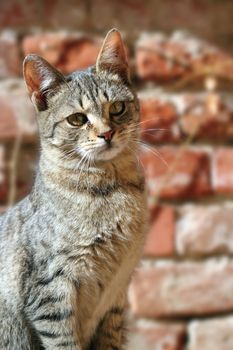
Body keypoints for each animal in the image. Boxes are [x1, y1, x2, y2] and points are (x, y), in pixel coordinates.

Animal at [0, 28, 147, 348]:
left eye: (117, 108)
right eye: (77, 119)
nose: (107, 133)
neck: (112, 189)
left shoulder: (116, 297)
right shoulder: (50, 291)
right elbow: (64, 342)